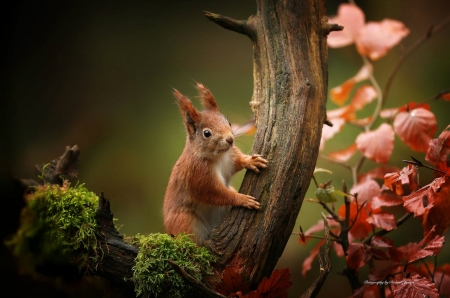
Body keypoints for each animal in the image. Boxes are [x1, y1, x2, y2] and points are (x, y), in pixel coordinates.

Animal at [164, 83, 268, 244]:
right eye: (206, 133)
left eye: (228, 122)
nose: (230, 139)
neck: (218, 156)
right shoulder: (198, 175)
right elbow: (215, 193)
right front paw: (243, 199)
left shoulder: (230, 157)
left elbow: (238, 162)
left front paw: (250, 161)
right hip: (185, 221)